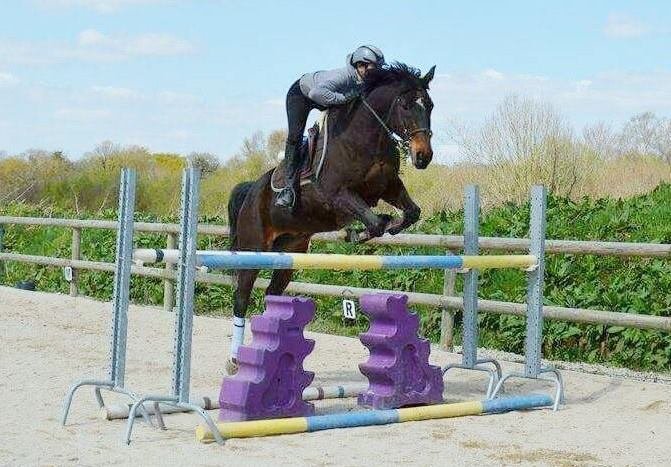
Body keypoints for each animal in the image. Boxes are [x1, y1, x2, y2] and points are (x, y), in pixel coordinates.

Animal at [225, 63, 436, 373]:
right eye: (407, 105)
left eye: (429, 105)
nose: (423, 156)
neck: (366, 137)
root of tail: (251, 189)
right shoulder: (338, 195)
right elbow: (374, 222)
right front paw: (359, 232)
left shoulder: (388, 187)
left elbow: (411, 212)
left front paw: (390, 226)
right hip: (253, 249)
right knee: (241, 297)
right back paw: (234, 360)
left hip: (290, 252)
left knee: (272, 294)